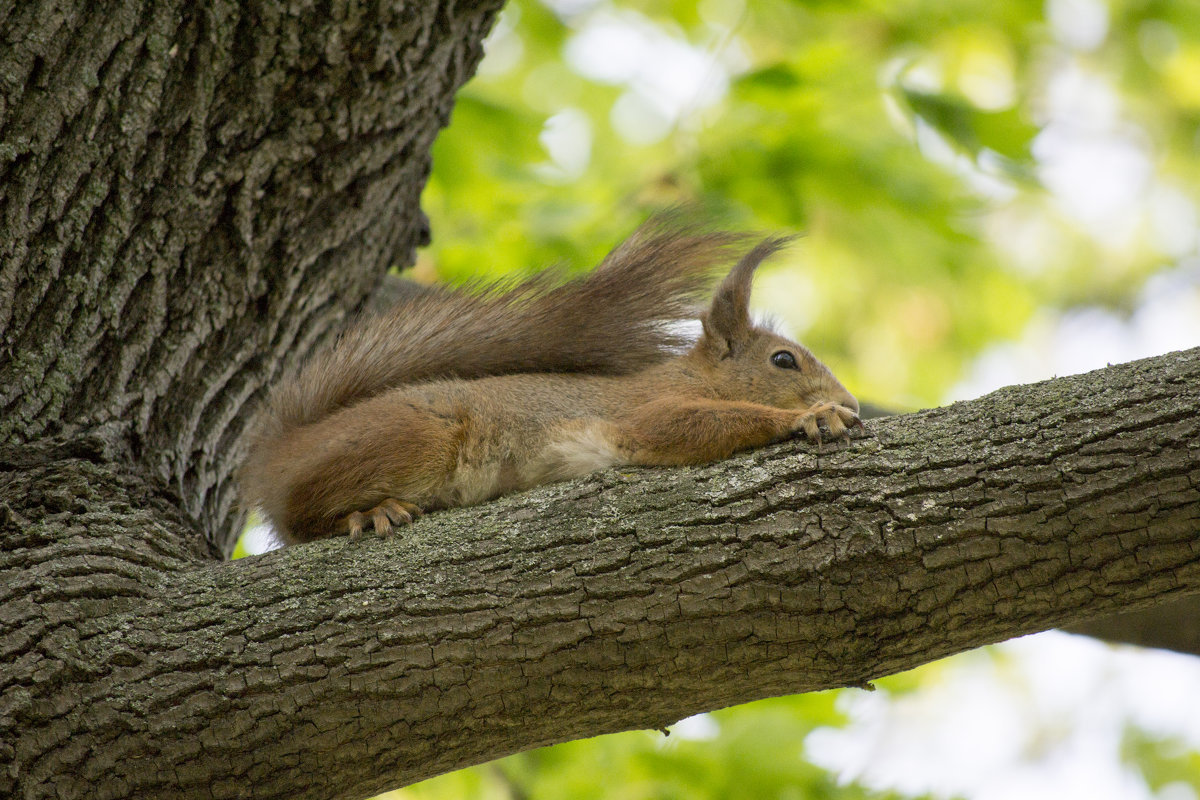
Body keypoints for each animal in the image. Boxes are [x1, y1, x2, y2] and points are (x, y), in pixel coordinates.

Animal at [241, 217, 864, 544]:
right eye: (784, 361)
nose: (852, 400)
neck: (699, 377)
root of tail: (279, 456)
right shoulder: (644, 410)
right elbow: (684, 425)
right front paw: (810, 416)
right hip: (413, 437)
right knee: (302, 515)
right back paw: (365, 513)